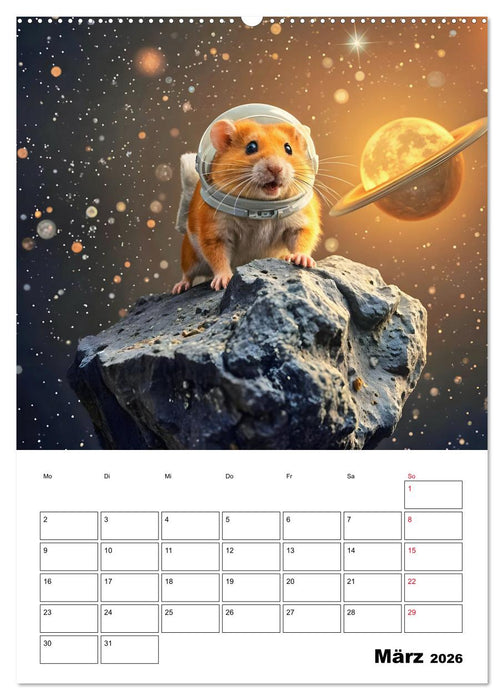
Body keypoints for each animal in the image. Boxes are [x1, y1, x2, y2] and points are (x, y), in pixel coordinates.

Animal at [172, 118, 321, 294]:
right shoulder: (214, 233)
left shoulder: (301, 223)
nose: (276, 168)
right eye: (251, 147)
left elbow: (302, 241)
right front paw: (223, 281)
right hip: (190, 256)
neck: (261, 207)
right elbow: (218, 258)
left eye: (288, 148)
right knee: (187, 273)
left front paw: (303, 260)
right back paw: (180, 287)